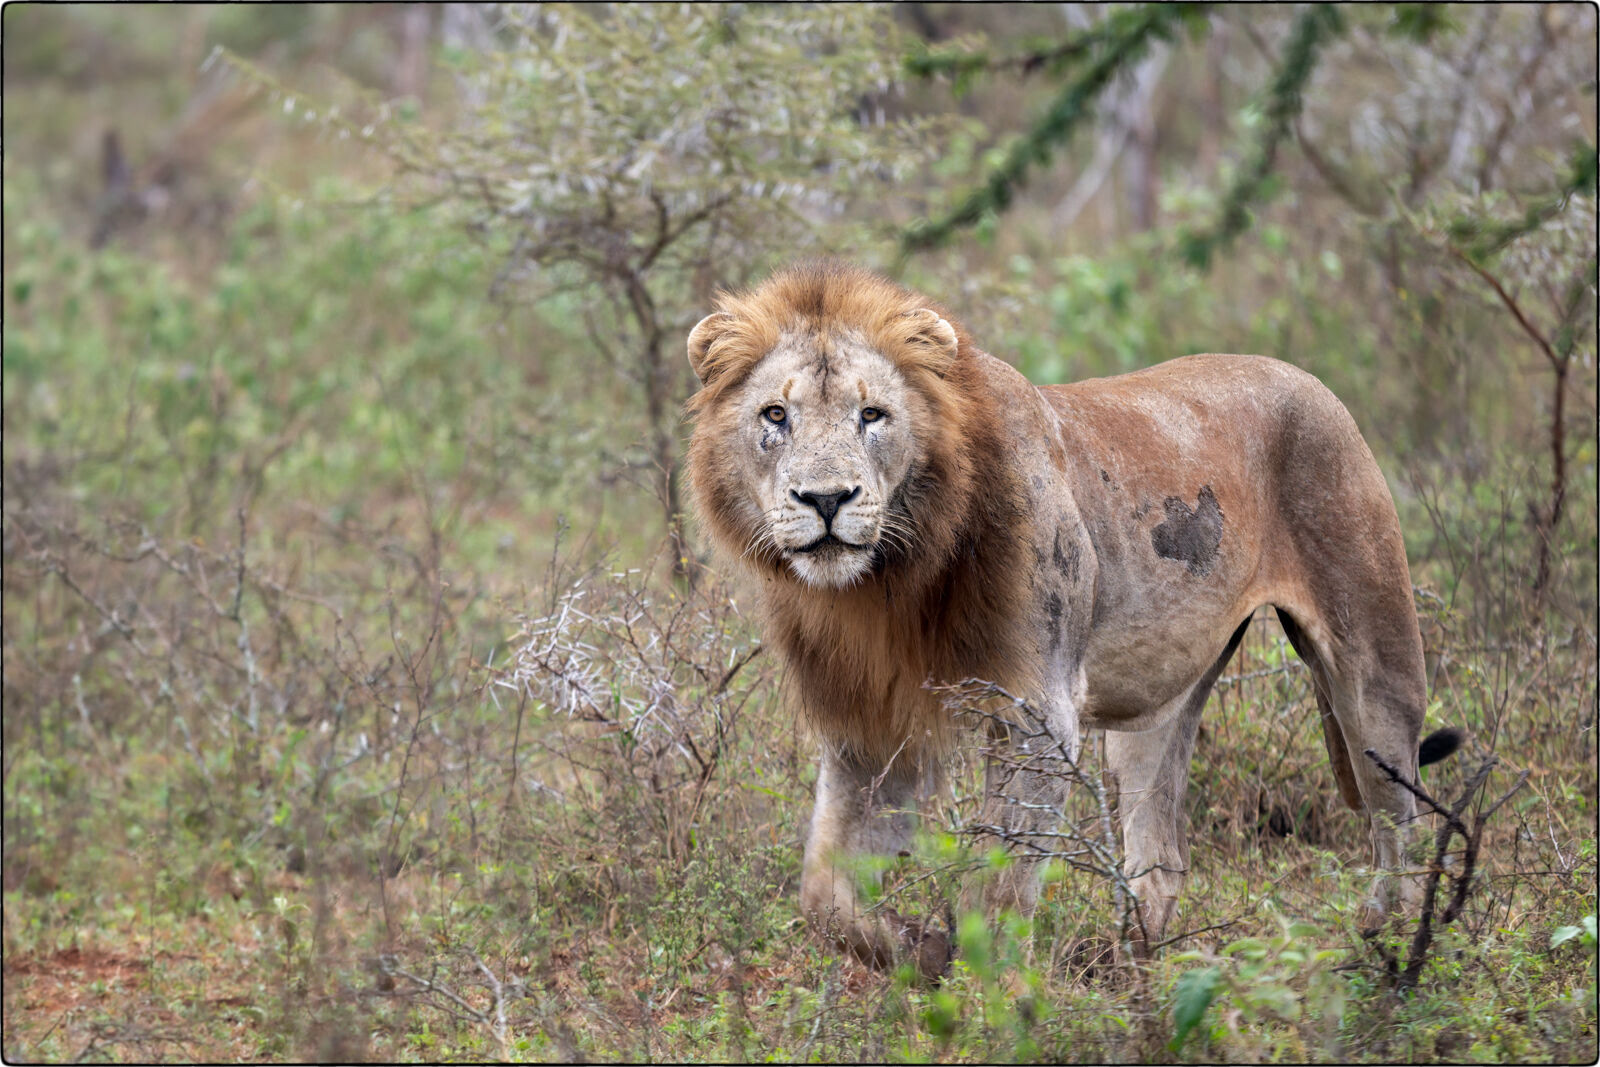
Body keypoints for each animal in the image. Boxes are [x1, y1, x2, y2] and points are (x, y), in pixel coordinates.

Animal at [684, 261, 1460, 978]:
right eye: (775, 416)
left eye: (871, 415)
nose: (825, 499)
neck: (887, 584)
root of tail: (1310, 379)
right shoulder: (869, 723)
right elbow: (824, 898)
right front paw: (919, 952)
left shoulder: (1037, 715)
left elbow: (997, 892)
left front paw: (988, 997)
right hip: (1156, 707)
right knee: (1160, 853)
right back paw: (1133, 970)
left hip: (1374, 667)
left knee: (1401, 825)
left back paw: (1384, 953)